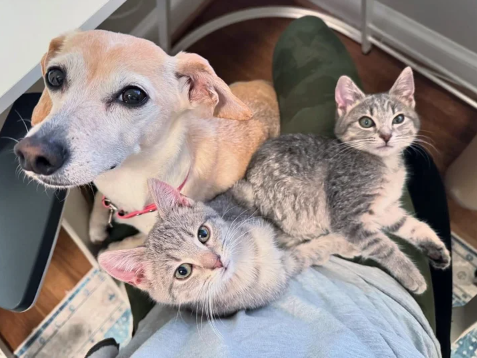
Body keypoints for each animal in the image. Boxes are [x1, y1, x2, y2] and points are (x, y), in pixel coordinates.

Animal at [14, 30, 278, 249]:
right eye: (54, 77)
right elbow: (99, 201)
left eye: (133, 95)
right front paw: (96, 226)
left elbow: (113, 251)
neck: (126, 179)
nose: (31, 155)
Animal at [97, 179, 356, 316]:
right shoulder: (285, 269)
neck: (250, 261)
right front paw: (340, 243)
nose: (218, 261)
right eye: (183, 272)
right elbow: (308, 252)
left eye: (203, 234)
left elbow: (279, 233)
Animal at [233, 67, 450, 294]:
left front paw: (436, 249)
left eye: (398, 119)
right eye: (366, 122)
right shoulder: (348, 215)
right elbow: (383, 246)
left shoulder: (386, 209)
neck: (387, 164)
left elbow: (414, 225)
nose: (386, 135)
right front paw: (410, 273)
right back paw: (341, 246)